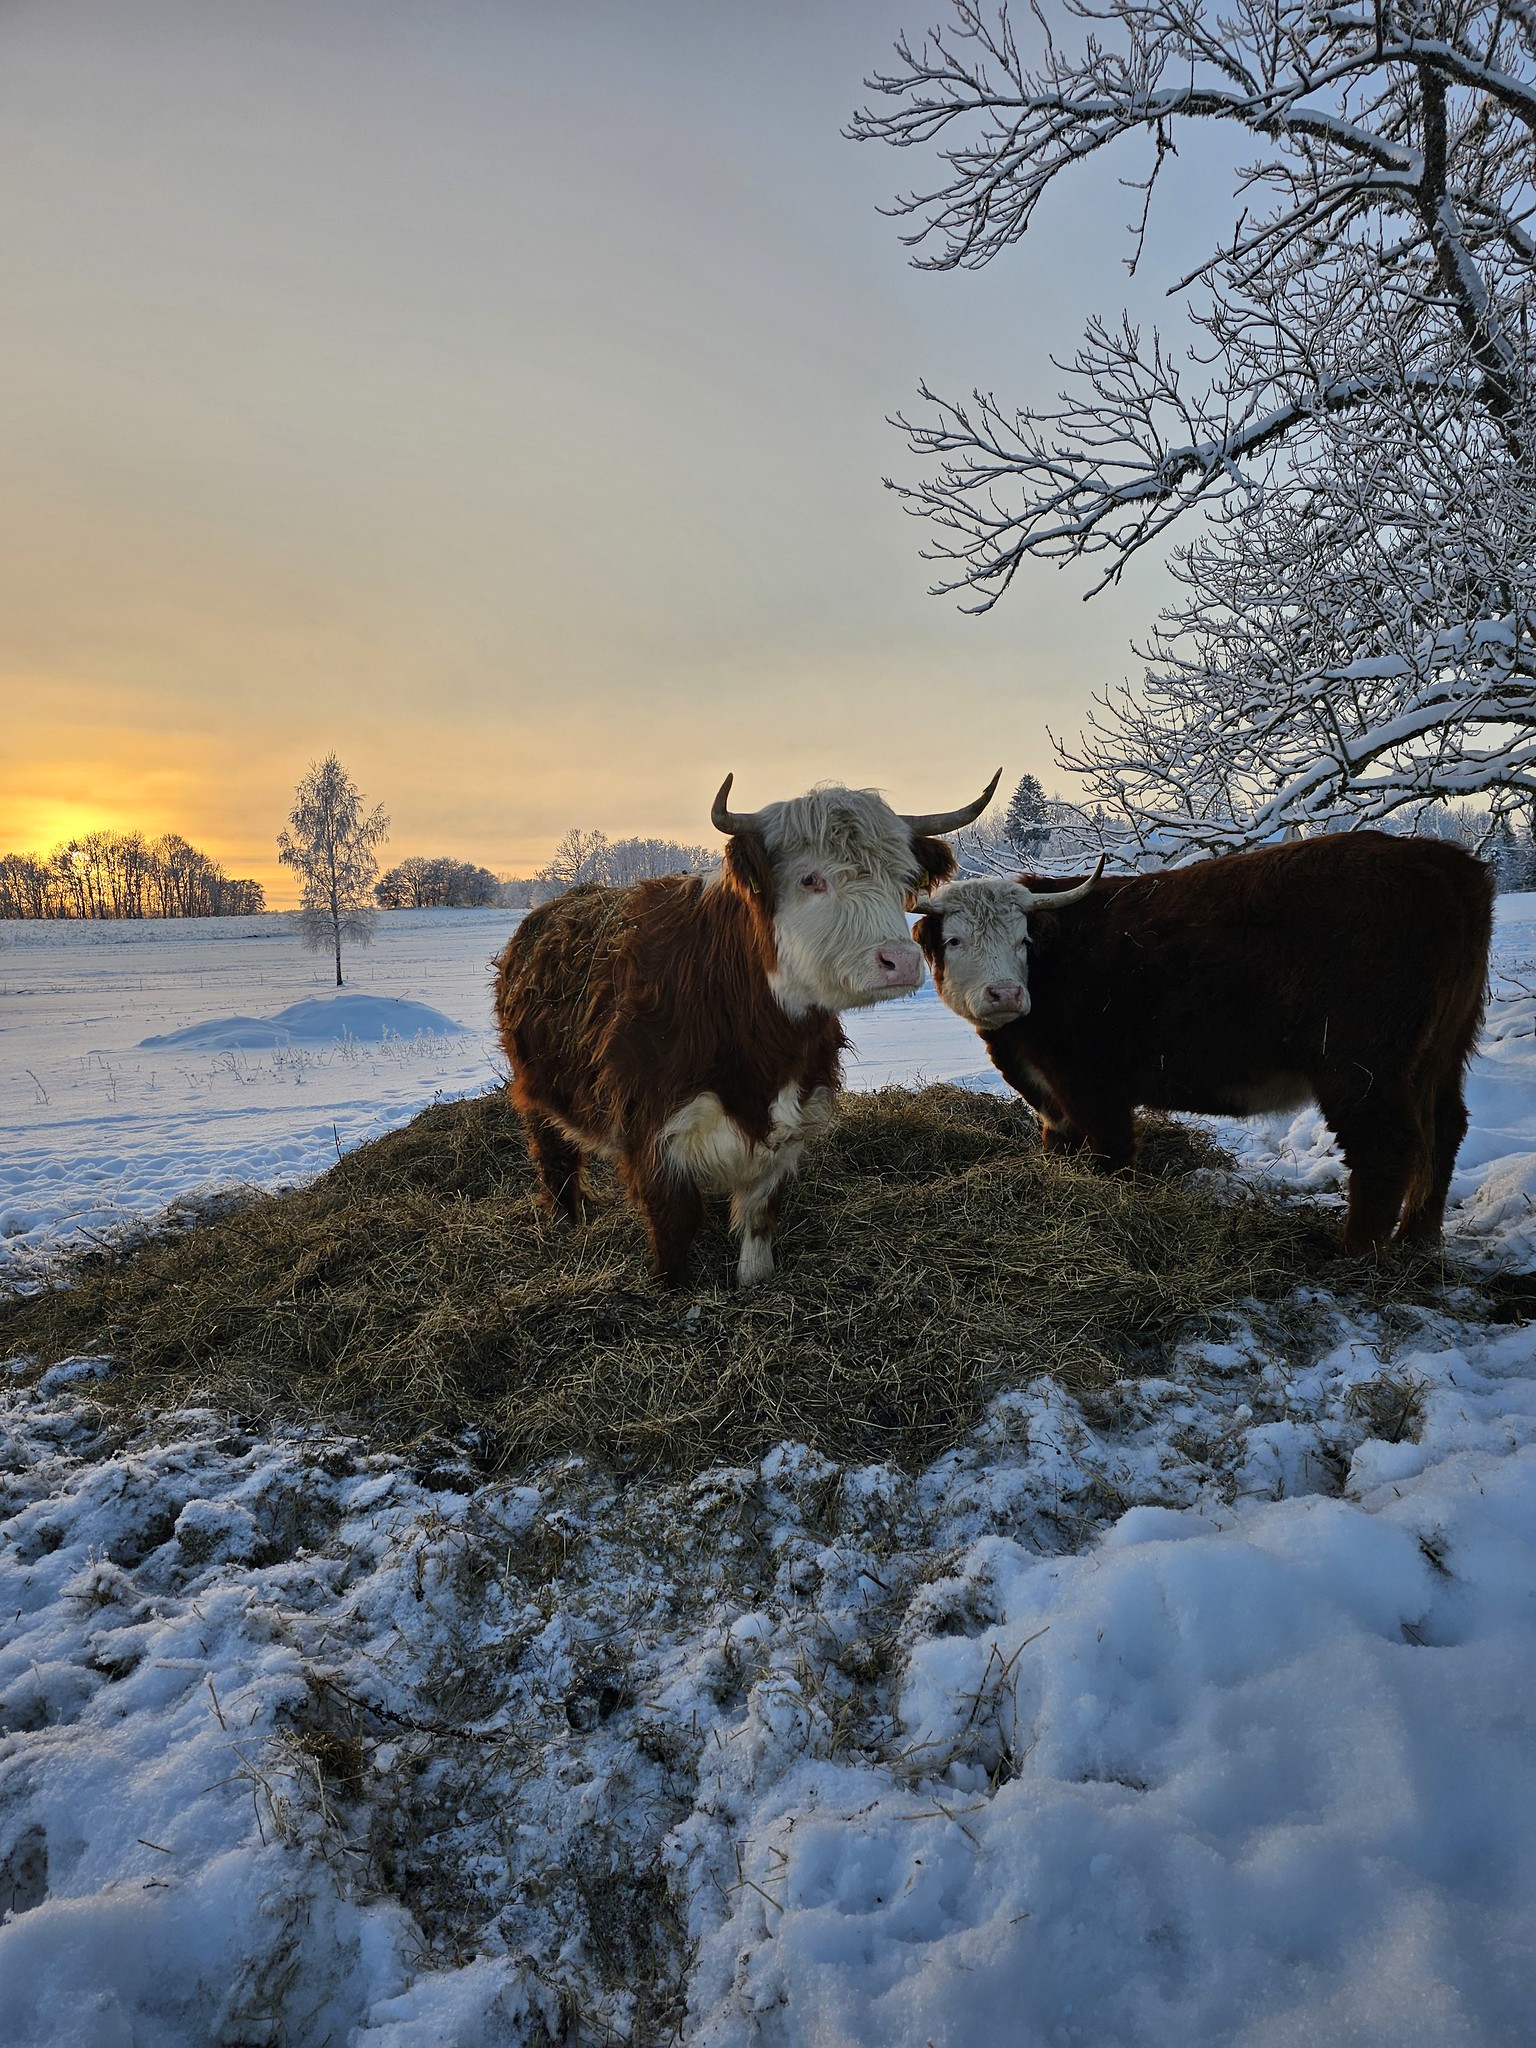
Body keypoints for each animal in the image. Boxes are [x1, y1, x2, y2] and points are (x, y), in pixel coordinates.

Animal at [499, 774, 1003, 1286]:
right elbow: (674, 1224)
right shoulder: (653, 1131)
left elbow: (760, 1218)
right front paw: (670, 1287)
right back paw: (568, 1221)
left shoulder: (793, 1119)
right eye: (810, 879)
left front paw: (755, 1280)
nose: (900, 961)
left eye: (902, 880)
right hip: (537, 1089)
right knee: (554, 1156)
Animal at [921, 827, 1499, 1245]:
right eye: (954, 940)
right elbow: (1060, 1151)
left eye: (1023, 940)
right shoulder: (1054, 1101)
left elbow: (1111, 1158)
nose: (1005, 994)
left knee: (1386, 1147)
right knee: (1444, 1129)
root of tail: (1447, 864)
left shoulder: (1092, 1088)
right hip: (1440, 1054)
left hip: (1362, 1068)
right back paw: (1416, 1242)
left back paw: (1354, 1257)